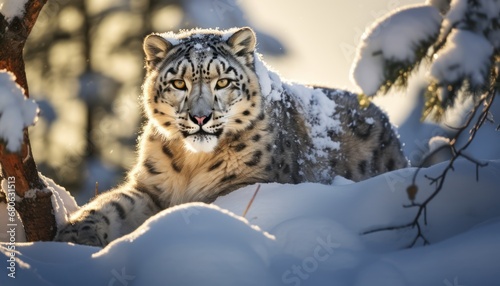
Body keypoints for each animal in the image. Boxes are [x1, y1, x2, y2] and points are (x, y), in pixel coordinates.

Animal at [54, 27, 406, 246]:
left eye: (222, 82)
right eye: (178, 83)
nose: (200, 117)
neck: (190, 163)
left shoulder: (246, 185)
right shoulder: (150, 187)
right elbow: (111, 206)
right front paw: (76, 236)